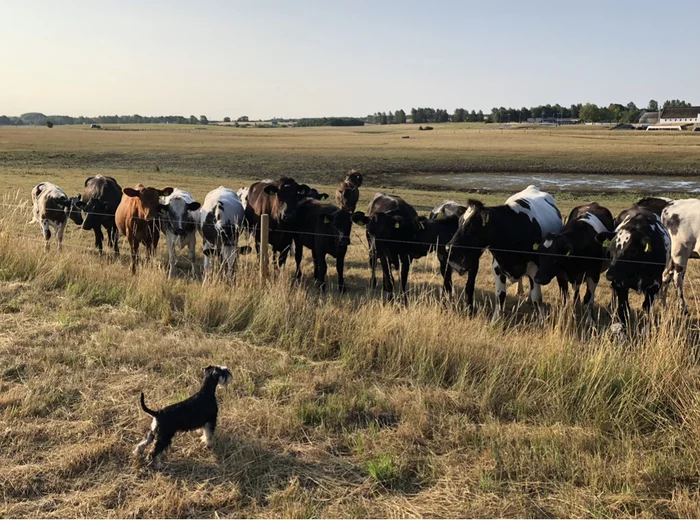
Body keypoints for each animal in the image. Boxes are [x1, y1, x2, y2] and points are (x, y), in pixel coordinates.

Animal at [448, 187, 564, 320]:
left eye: (471, 226)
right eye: (459, 223)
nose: (449, 247)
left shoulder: (535, 268)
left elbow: (537, 298)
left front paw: (542, 320)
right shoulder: (497, 267)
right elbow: (500, 295)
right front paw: (496, 320)